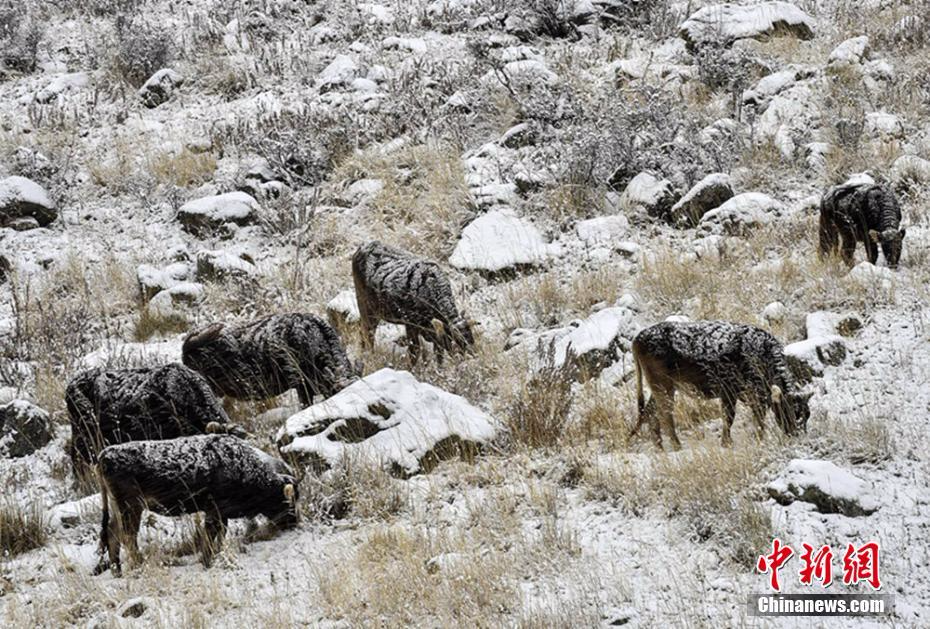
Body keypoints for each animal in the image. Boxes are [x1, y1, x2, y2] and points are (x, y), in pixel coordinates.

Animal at [94, 432, 298, 576]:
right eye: (289, 502)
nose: (294, 522)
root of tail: (104, 454)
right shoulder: (214, 511)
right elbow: (210, 534)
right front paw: (207, 561)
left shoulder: (221, 514)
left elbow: (220, 534)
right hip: (132, 507)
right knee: (128, 537)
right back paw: (140, 567)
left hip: (118, 508)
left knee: (112, 534)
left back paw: (118, 572)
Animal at [628, 322, 808, 448]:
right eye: (790, 411)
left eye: (807, 414)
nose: (798, 435)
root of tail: (638, 337)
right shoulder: (729, 392)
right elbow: (729, 417)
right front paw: (727, 443)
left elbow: (757, 418)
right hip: (664, 387)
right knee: (664, 415)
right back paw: (677, 446)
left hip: (662, 389)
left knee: (651, 413)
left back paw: (660, 447)